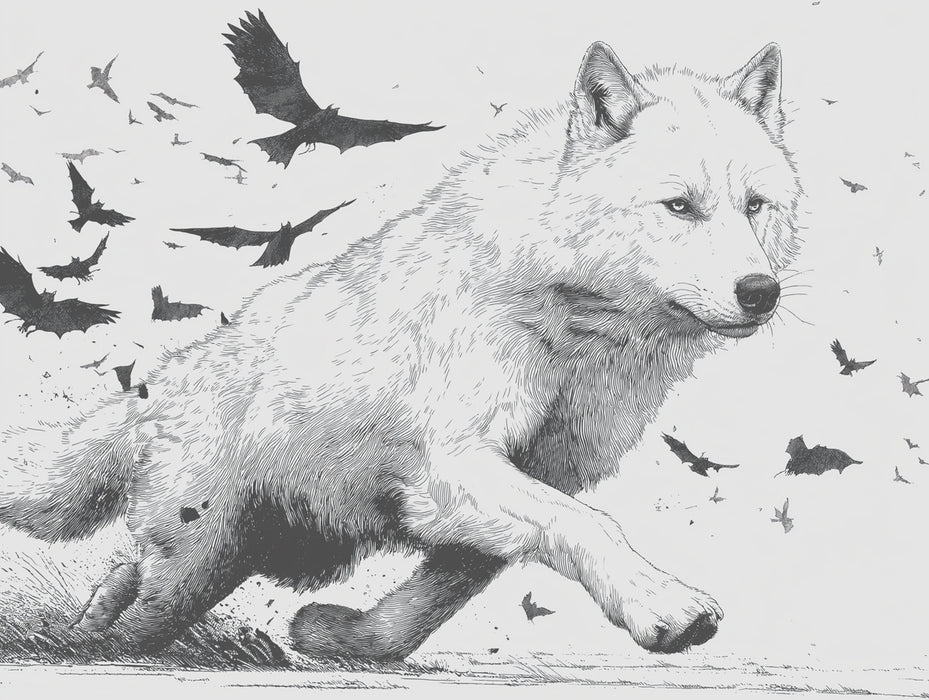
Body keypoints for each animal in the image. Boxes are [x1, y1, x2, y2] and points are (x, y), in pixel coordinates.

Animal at [0, 39, 801, 661]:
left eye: (755, 207)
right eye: (679, 207)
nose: (760, 292)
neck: (568, 326)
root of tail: (168, 378)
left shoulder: (518, 478)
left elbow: (441, 593)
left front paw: (348, 640)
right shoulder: (456, 462)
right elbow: (587, 525)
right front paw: (665, 608)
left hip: (235, 548)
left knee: (130, 577)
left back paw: (100, 623)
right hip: (204, 540)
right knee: (145, 592)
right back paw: (95, 637)